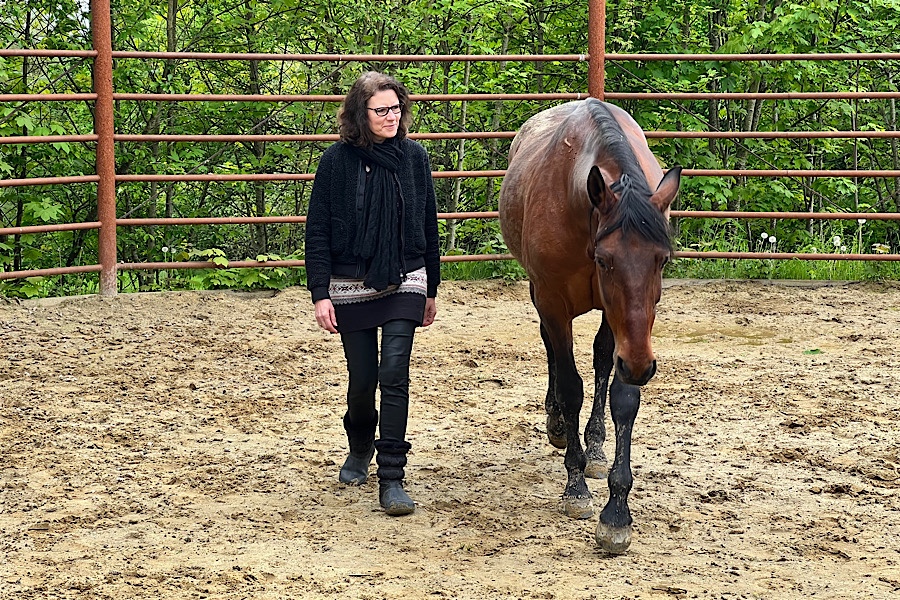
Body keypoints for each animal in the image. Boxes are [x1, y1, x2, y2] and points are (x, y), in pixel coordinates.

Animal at [500, 98, 684, 552]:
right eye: (605, 260)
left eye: (662, 259)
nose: (642, 366)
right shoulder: (552, 301)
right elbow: (570, 386)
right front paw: (576, 488)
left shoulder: (625, 332)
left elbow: (622, 394)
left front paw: (616, 511)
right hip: (543, 298)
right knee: (552, 350)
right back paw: (558, 427)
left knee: (601, 358)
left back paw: (596, 447)